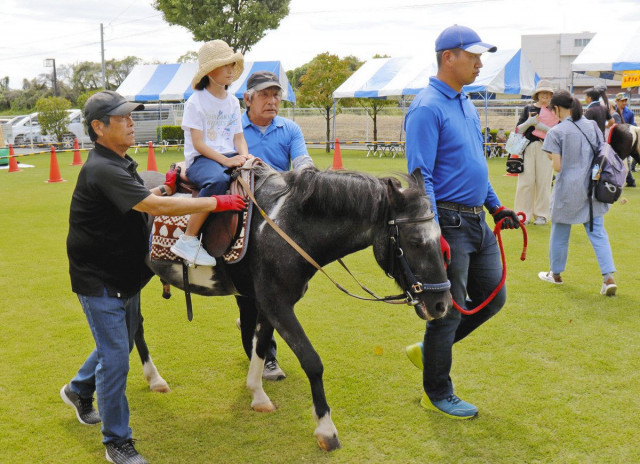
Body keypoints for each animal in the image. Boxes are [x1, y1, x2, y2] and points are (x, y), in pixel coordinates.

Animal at [143, 163, 452, 451]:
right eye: (415, 242)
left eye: (440, 237)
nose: (441, 304)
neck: (286, 227)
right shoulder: (278, 304)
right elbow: (312, 361)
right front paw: (326, 430)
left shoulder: (267, 304)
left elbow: (260, 346)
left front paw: (258, 395)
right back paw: (155, 379)